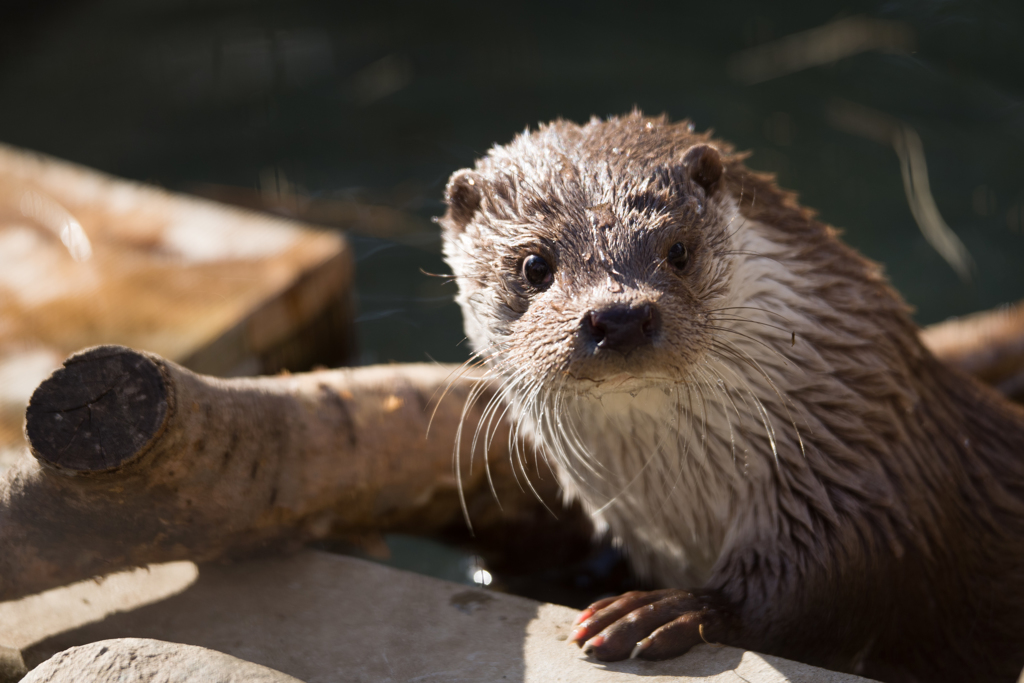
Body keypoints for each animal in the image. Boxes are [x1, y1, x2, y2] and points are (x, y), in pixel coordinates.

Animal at [440, 113, 1024, 683]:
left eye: (678, 250)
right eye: (534, 265)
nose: (620, 316)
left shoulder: (866, 495)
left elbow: (832, 581)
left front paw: (669, 611)